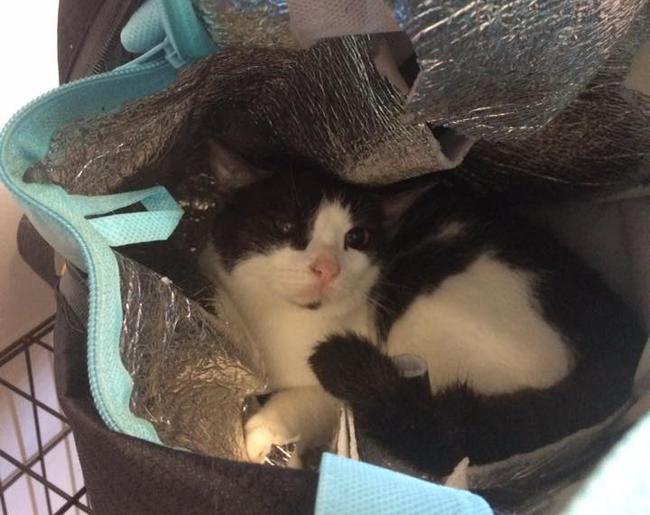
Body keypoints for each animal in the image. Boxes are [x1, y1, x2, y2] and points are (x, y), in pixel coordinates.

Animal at [200, 142, 644, 476]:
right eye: (286, 228)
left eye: (356, 238)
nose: (327, 268)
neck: (278, 320)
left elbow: (313, 398)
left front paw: (265, 429)